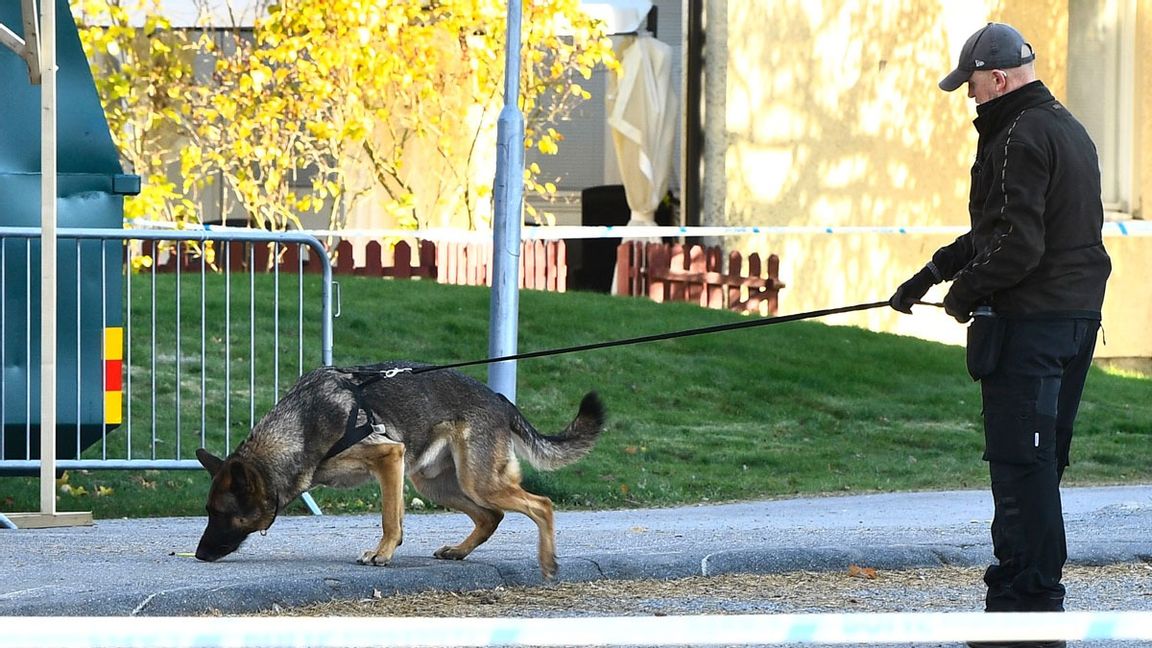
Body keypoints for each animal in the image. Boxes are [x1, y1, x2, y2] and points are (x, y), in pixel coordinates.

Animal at [193, 359, 608, 576]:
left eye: (222, 514)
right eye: (208, 512)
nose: (197, 555)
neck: (300, 428)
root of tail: (500, 399)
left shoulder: (389, 457)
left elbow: (389, 519)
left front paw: (383, 553)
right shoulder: (397, 467)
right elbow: (396, 517)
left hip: (477, 482)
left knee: (541, 505)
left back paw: (548, 562)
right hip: (435, 483)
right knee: (491, 516)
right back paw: (459, 552)